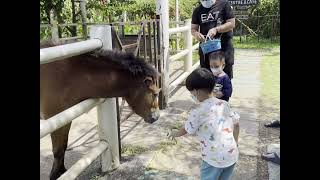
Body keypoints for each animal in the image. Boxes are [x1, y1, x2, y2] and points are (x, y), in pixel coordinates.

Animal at [40, 42, 160, 180]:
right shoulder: (54, 118)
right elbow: (57, 150)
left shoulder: (66, 118)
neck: (70, 74)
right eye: (155, 93)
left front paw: (63, 172)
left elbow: (62, 147)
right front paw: (55, 175)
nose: (156, 117)